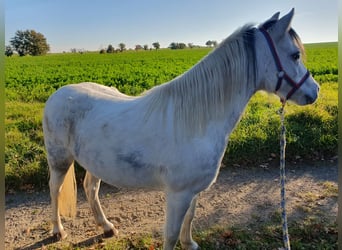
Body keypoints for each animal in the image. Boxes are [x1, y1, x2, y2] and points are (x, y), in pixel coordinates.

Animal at [44, 8, 320, 249]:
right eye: (295, 55)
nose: (314, 91)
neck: (197, 123)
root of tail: (58, 94)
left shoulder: (193, 191)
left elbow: (191, 218)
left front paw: (190, 243)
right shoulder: (178, 194)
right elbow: (171, 235)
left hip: (95, 162)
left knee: (91, 188)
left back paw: (107, 227)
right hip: (59, 160)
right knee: (54, 189)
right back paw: (58, 231)